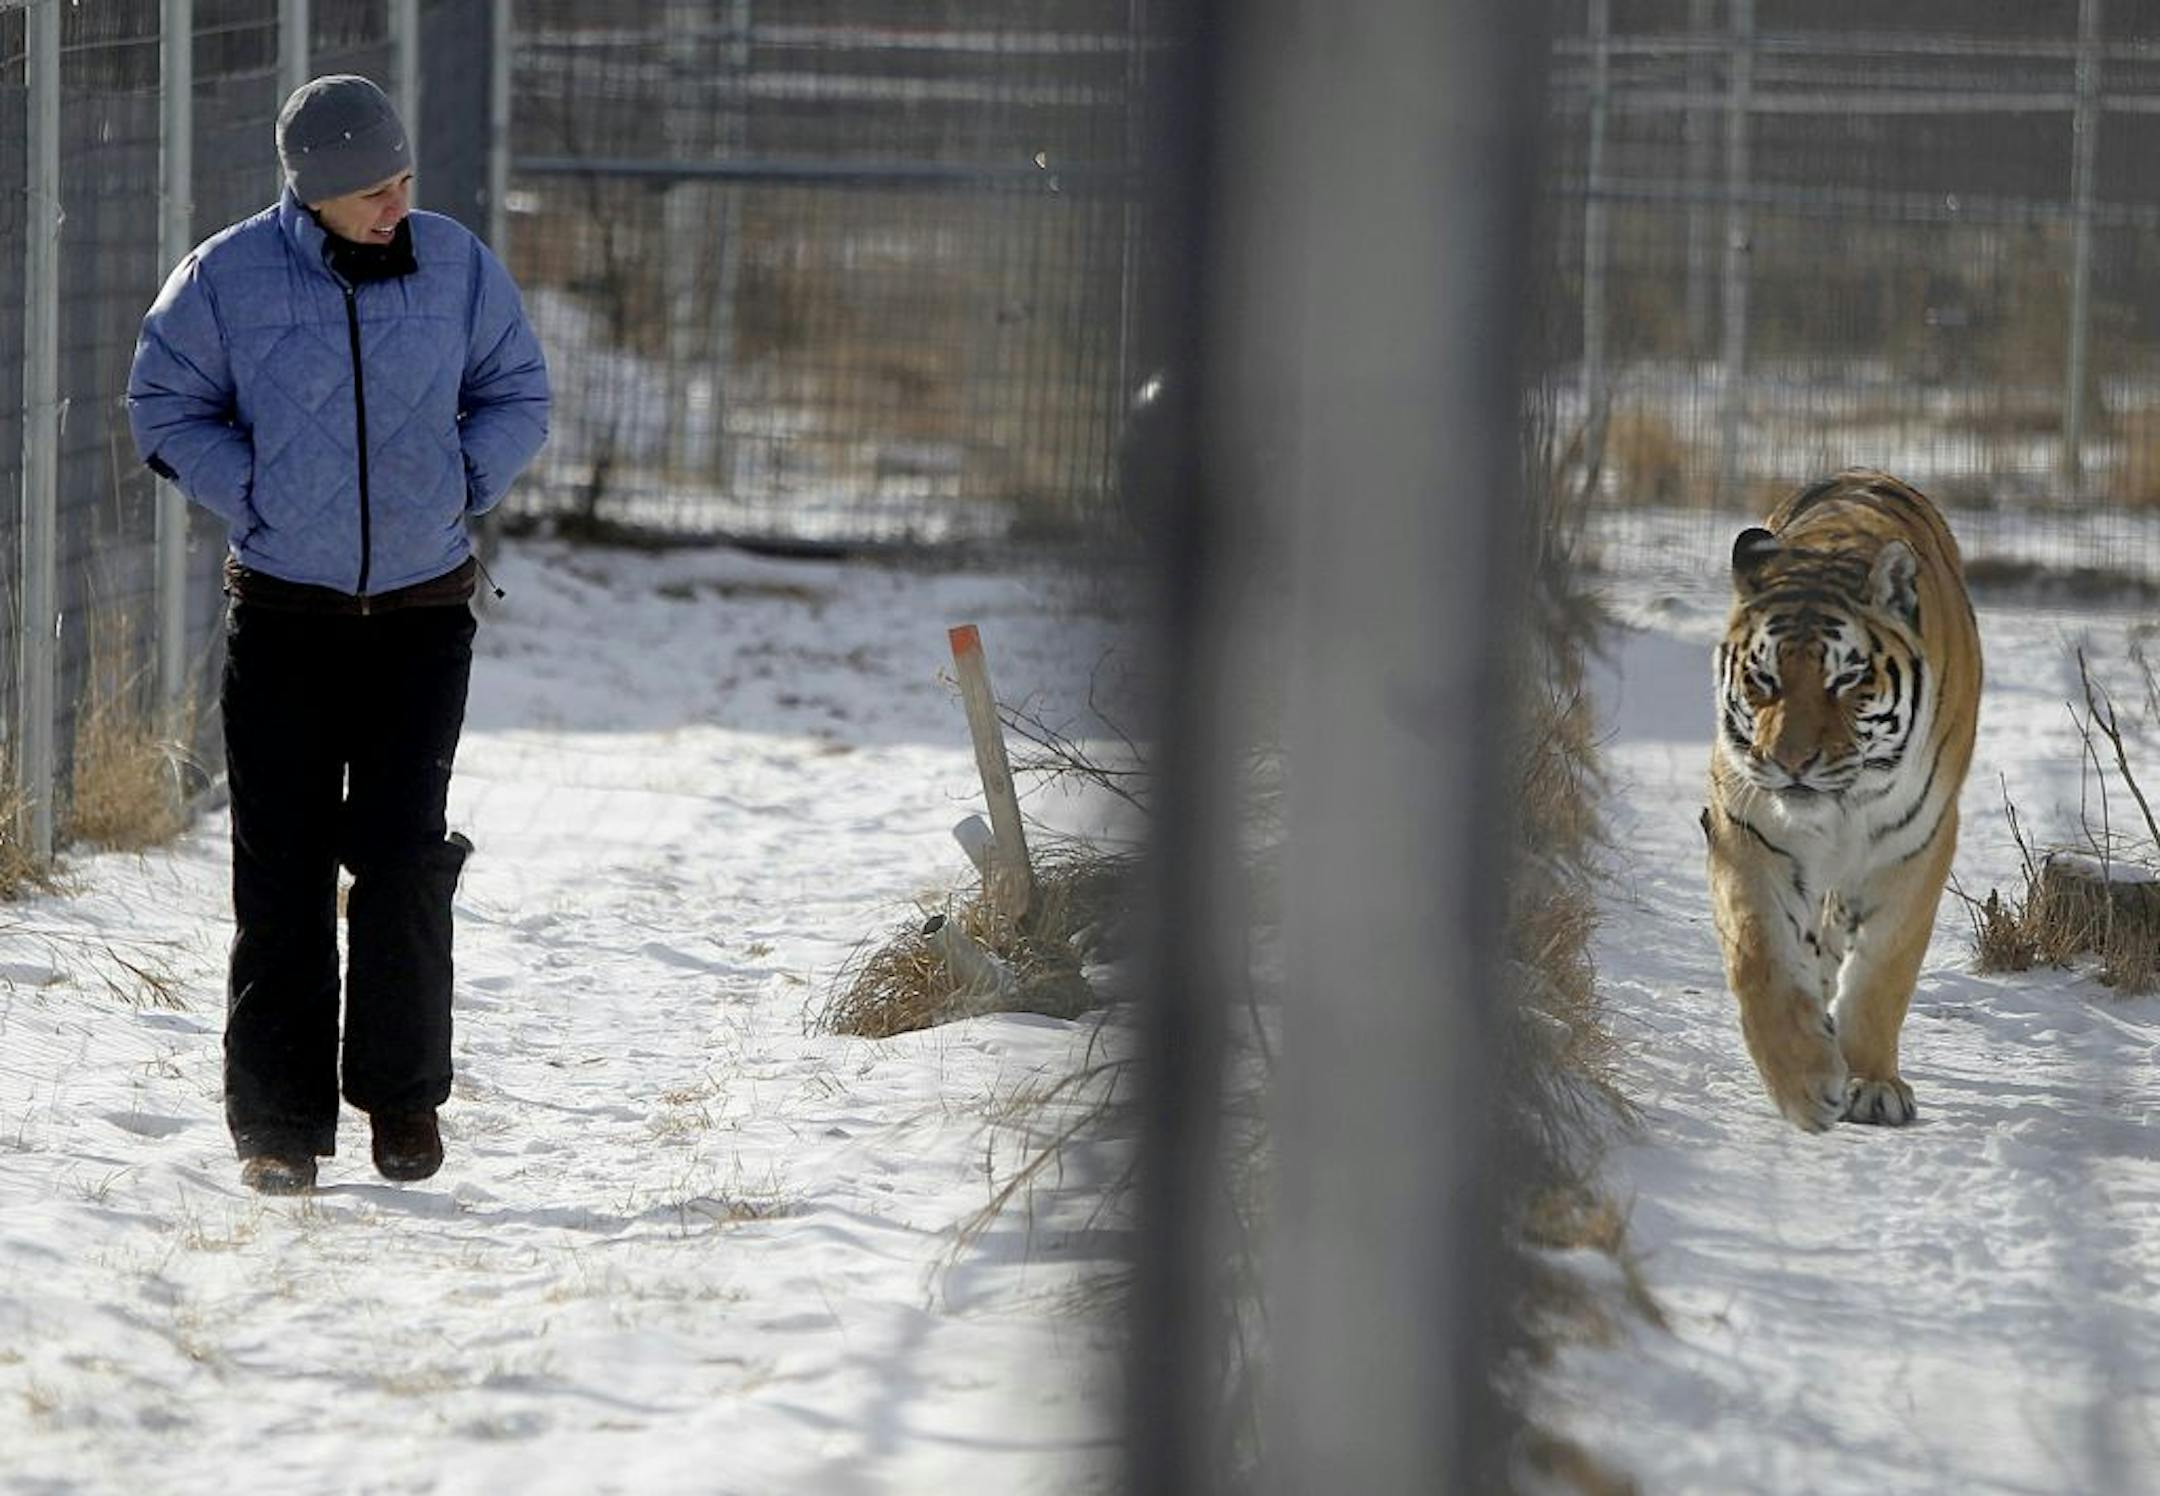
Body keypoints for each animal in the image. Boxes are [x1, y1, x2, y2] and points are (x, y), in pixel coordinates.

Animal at [1701, 468, 1981, 1132]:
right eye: (1765, 680)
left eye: (1846, 681)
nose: (1790, 762)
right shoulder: (1744, 828)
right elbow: (1758, 955)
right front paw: (1805, 1084)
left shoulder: (1917, 847)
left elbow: (1883, 976)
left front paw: (1872, 1084)